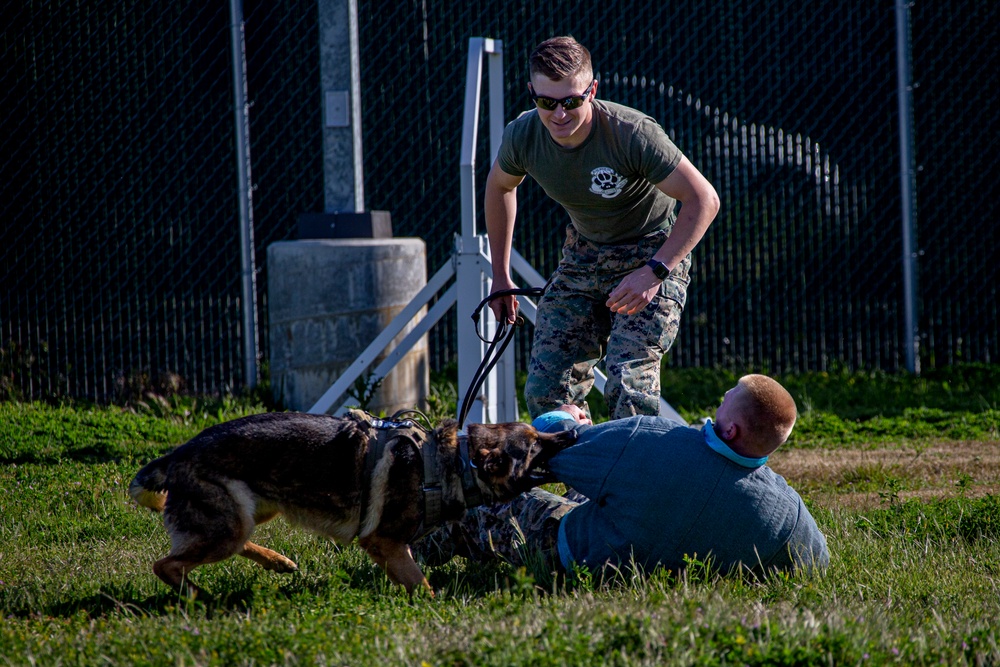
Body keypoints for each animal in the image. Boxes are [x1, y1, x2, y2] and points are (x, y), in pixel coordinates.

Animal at [129, 412, 576, 600]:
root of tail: (178, 453)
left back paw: (278, 562)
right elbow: (422, 585)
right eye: (534, 445)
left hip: (253, 512)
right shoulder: (384, 542)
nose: (572, 433)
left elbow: (412, 578)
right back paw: (199, 597)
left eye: (538, 433)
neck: (456, 463)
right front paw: (436, 608)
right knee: (166, 565)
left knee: (227, 545)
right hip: (229, 525)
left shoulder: (392, 550)